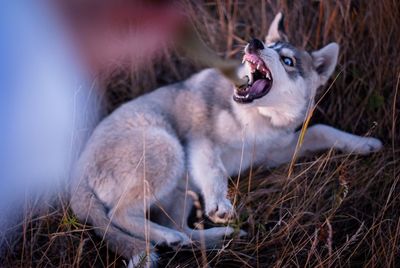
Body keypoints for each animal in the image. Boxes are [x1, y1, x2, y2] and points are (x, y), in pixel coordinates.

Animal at [69, 12, 382, 266]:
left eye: (288, 60)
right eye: (269, 46)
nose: (255, 43)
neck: (258, 117)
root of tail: (76, 180)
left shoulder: (274, 152)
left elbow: (321, 130)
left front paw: (363, 143)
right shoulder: (201, 142)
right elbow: (215, 170)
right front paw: (221, 204)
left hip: (181, 186)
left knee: (181, 228)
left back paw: (217, 237)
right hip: (168, 148)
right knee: (118, 214)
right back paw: (169, 236)